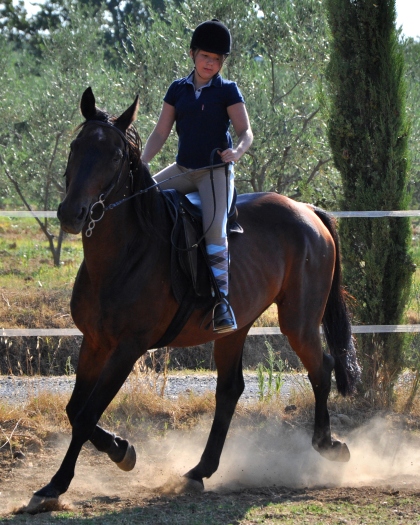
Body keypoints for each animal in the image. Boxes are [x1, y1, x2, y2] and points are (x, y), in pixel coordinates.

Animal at [29, 88, 360, 506]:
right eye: (76, 146)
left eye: (115, 156)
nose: (72, 213)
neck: (127, 252)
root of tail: (307, 210)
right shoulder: (95, 342)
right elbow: (75, 410)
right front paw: (113, 453)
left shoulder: (127, 348)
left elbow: (88, 414)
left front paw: (67, 479)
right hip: (235, 328)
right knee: (230, 391)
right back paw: (200, 470)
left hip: (298, 321)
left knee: (322, 367)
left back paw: (328, 446)